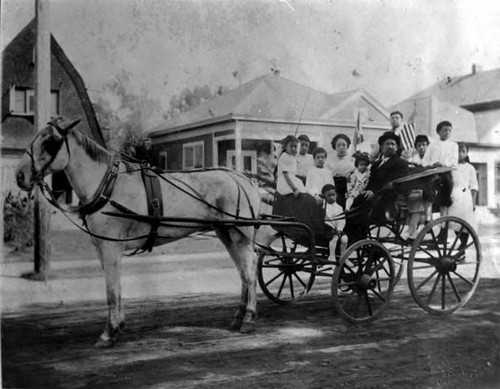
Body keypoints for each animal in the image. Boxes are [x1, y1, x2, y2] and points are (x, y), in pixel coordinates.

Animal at [15, 117, 262, 346]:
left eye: (49, 141)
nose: (19, 175)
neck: (107, 186)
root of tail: (243, 178)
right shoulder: (103, 248)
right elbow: (115, 288)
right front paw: (118, 327)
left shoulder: (111, 247)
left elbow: (111, 290)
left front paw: (108, 333)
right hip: (226, 233)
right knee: (243, 272)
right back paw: (238, 317)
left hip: (240, 234)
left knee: (250, 270)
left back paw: (249, 319)